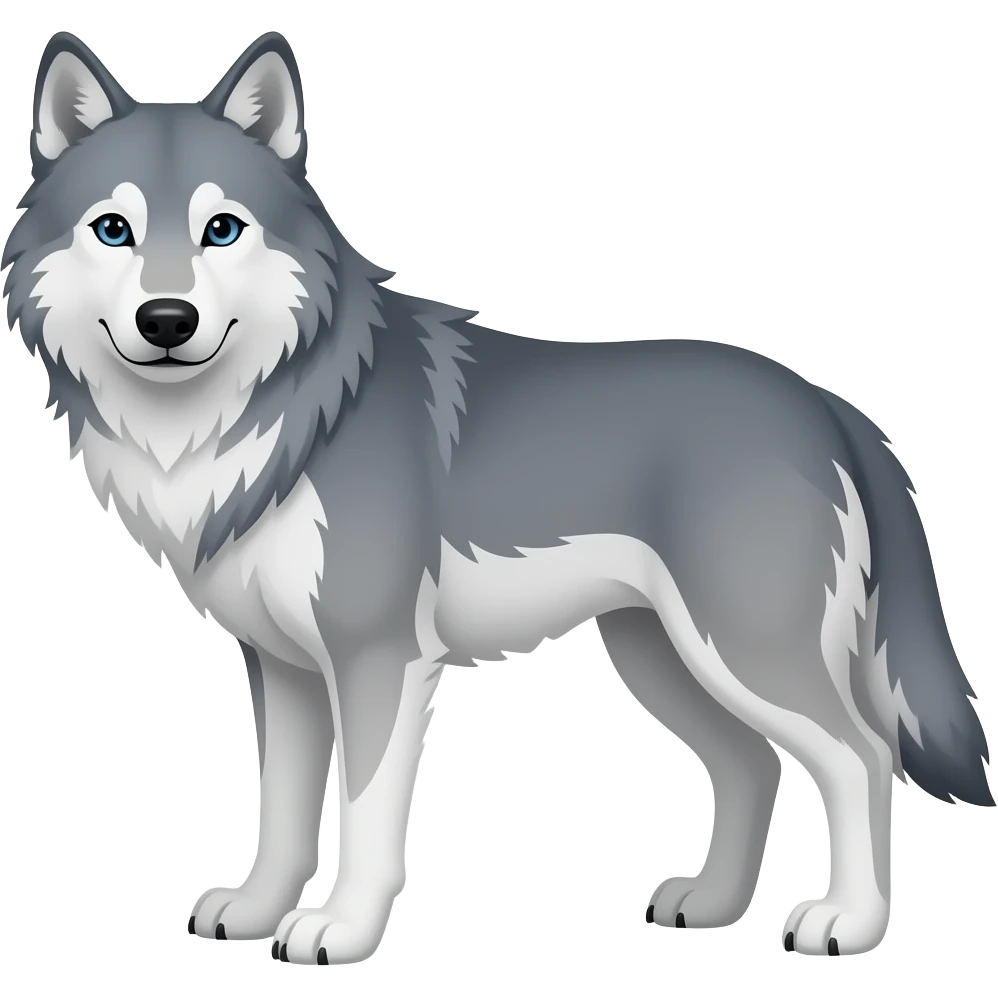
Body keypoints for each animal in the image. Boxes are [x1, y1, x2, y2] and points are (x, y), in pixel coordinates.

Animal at [2, 27, 992, 966]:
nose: (167, 321)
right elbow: (279, 809)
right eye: (113, 230)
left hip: (741, 652)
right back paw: (710, 906)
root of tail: (827, 403)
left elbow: (364, 816)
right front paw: (254, 913)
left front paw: (340, 932)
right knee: (754, 765)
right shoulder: (281, 669)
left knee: (861, 758)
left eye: (221, 230)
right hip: (660, 657)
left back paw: (848, 924)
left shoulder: (378, 660)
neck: (272, 414)